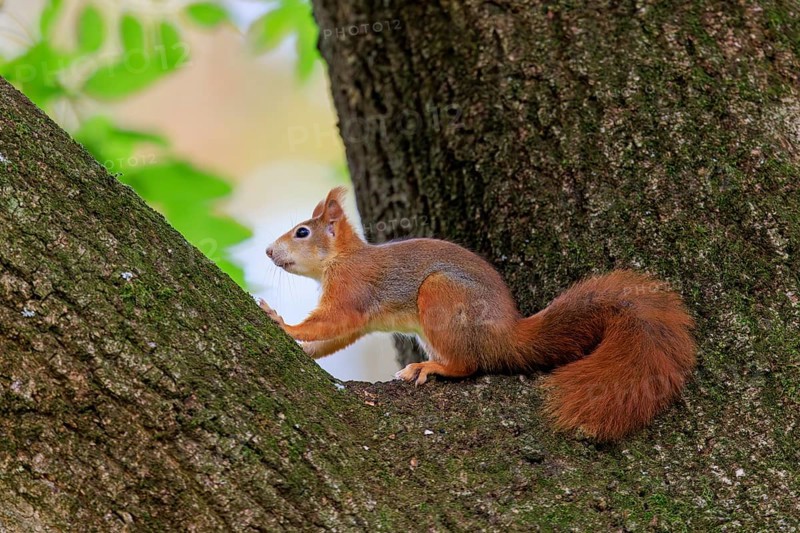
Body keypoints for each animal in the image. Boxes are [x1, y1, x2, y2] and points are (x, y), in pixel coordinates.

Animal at [260, 187, 696, 441]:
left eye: (302, 232)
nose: (267, 251)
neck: (340, 259)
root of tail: (506, 334)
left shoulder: (352, 290)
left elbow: (333, 321)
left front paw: (284, 324)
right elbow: (336, 335)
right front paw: (303, 349)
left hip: (440, 295)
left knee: (468, 365)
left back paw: (431, 368)